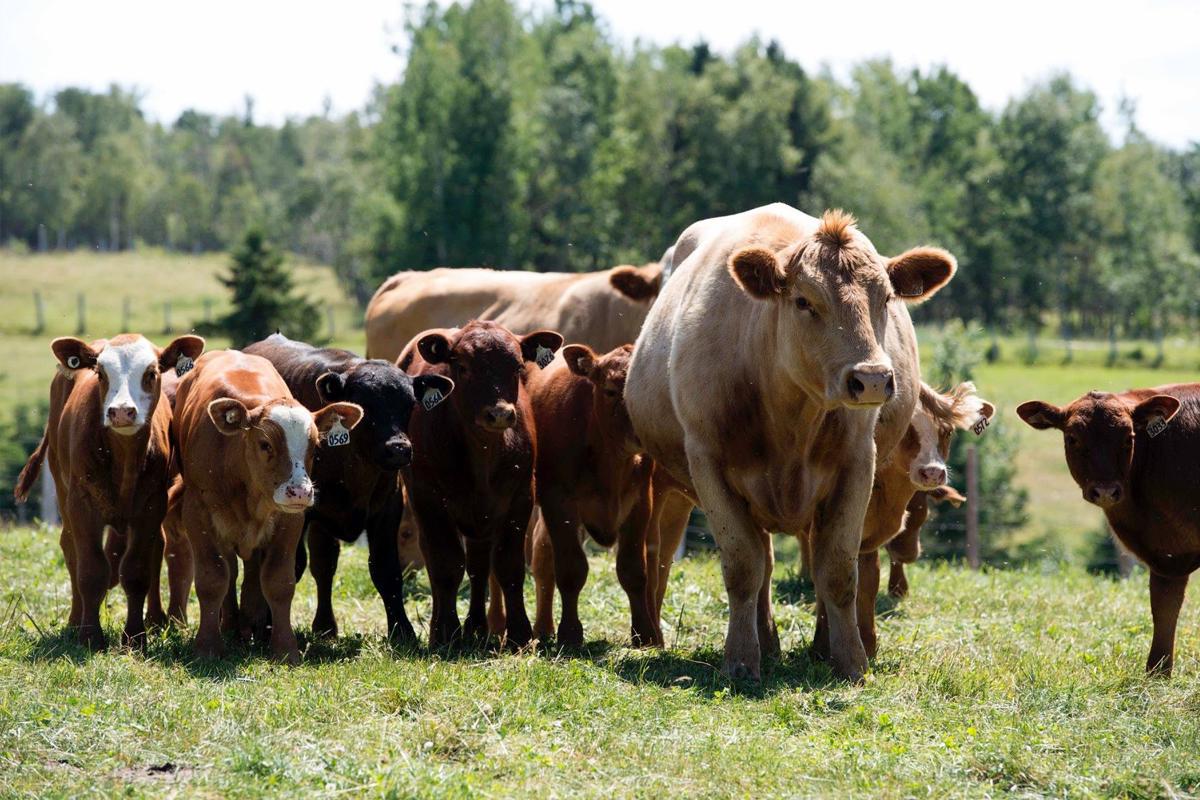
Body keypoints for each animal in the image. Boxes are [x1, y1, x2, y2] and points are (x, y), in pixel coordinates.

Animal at [171, 350, 360, 662]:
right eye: (265, 444)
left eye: (314, 445)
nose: (299, 492)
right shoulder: (198, 514)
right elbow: (213, 578)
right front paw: (208, 646)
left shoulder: (289, 520)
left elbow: (278, 582)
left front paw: (285, 648)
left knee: (249, 575)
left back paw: (249, 625)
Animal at [525, 347, 657, 647]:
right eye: (610, 390)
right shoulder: (559, 502)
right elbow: (571, 568)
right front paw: (570, 634)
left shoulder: (641, 501)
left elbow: (633, 570)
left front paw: (644, 635)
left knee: (542, 555)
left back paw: (543, 628)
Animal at [628, 203, 955, 681]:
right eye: (804, 301)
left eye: (885, 299)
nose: (872, 379)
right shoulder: (708, 466)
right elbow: (744, 565)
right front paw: (742, 659)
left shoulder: (857, 465)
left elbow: (836, 567)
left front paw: (850, 660)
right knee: (760, 564)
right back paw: (767, 642)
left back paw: (819, 645)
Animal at [1017, 388, 1200, 676]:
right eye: (1072, 438)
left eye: (1129, 437)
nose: (1105, 491)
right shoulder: (1168, 555)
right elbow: (1164, 608)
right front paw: (1157, 674)